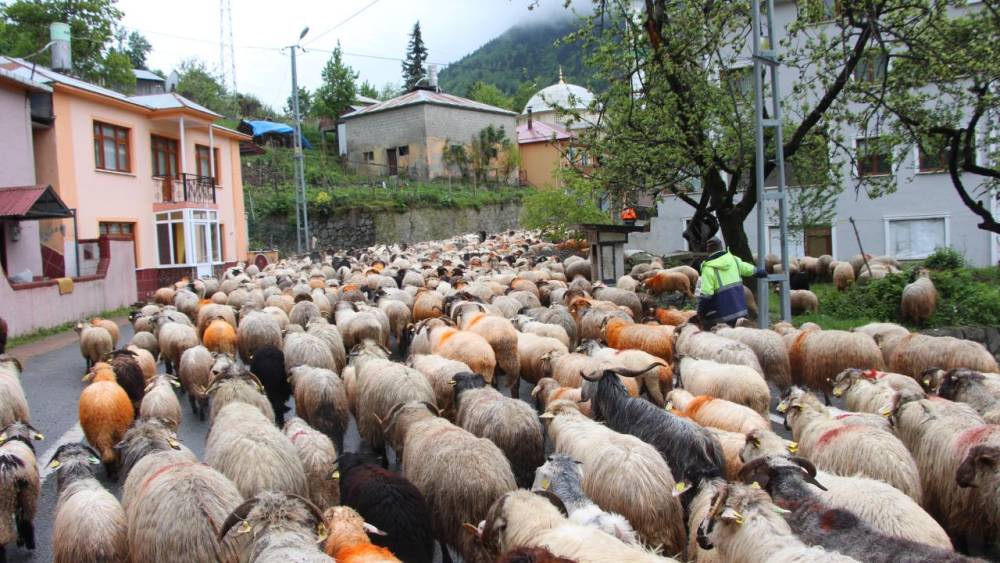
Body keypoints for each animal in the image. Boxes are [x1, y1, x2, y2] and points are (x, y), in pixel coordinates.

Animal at [0, 420, 41, 556]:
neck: (17, 437)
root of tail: (6, 465)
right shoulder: (27, 494)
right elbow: (23, 519)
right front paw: (24, 541)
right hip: (21, 495)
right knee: (24, 520)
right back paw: (29, 543)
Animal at [378, 400, 512, 563]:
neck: (420, 420)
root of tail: (487, 482)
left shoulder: (436, 515)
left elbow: (441, 542)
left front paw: (446, 558)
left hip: (463, 524)